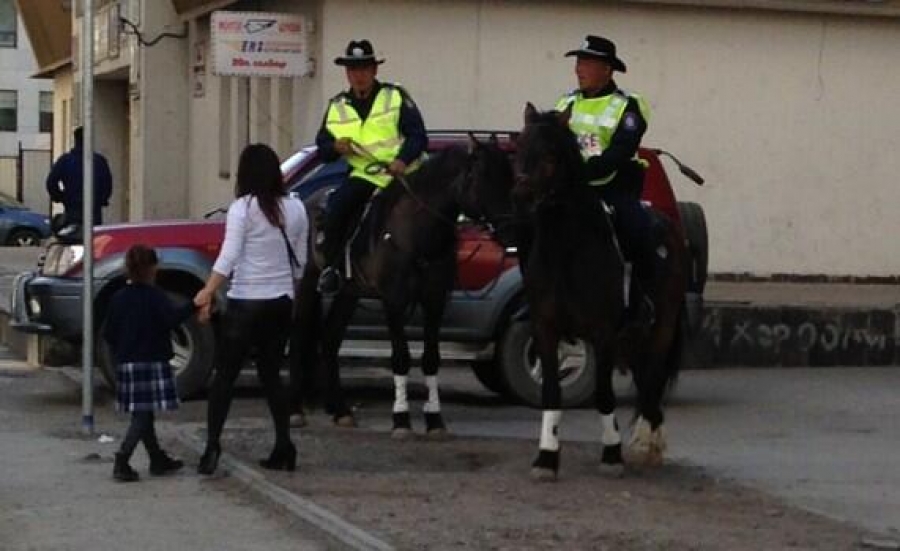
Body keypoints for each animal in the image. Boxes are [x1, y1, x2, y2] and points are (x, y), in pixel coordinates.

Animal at [288, 138, 512, 440]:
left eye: (510, 177)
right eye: (482, 178)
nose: (512, 230)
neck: (418, 233)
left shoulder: (434, 300)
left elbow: (431, 359)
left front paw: (435, 420)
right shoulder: (394, 301)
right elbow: (401, 358)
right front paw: (401, 420)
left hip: (349, 292)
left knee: (330, 338)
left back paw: (341, 411)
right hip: (306, 284)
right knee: (298, 337)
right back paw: (295, 410)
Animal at [510, 104, 684, 484]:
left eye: (550, 155)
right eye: (518, 150)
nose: (521, 196)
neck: (567, 250)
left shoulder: (603, 333)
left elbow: (604, 394)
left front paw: (612, 454)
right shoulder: (546, 329)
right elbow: (551, 392)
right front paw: (546, 458)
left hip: (661, 327)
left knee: (652, 378)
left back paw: (647, 442)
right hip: (633, 338)